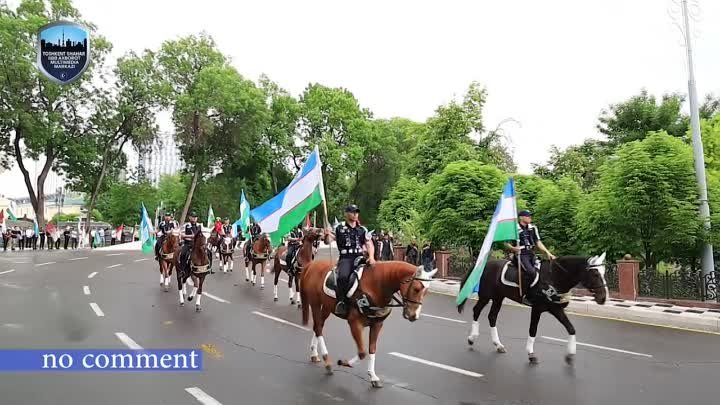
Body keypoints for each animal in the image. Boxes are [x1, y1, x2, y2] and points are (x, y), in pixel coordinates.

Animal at [300, 258, 436, 386]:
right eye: (416, 289)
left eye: (426, 292)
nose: (414, 315)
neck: (377, 285)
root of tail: (312, 264)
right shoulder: (355, 324)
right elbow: (362, 352)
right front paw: (344, 363)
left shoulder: (377, 325)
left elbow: (372, 349)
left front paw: (373, 376)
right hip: (315, 303)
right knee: (318, 328)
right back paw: (327, 362)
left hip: (326, 307)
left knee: (318, 326)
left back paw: (314, 353)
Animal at [456, 252, 608, 362]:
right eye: (595, 274)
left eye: (604, 272)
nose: (603, 298)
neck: (554, 277)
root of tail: (484, 264)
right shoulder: (537, 308)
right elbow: (533, 330)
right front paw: (531, 353)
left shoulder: (556, 309)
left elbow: (571, 328)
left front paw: (570, 354)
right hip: (486, 296)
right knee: (476, 311)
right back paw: (472, 338)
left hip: (498, 298)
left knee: (492, 316)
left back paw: (498, 345)